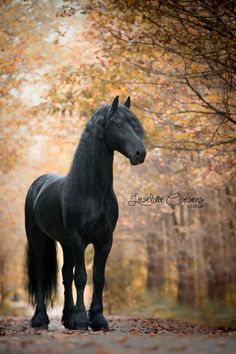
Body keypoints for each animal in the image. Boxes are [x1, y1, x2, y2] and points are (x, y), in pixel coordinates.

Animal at [24, 95, 146, 330]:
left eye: (136, 124)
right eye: (118, 124)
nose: (140, 153)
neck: (92, 192)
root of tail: (37, 184)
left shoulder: (104, 240)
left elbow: (98, 277)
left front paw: (97, 319)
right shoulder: (79, 239)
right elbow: (81, 277)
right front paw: (81, 319)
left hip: (65, 243)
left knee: (65, 274)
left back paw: (66, 317)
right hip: (39, 240)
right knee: (42, 274)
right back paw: (40, 319)